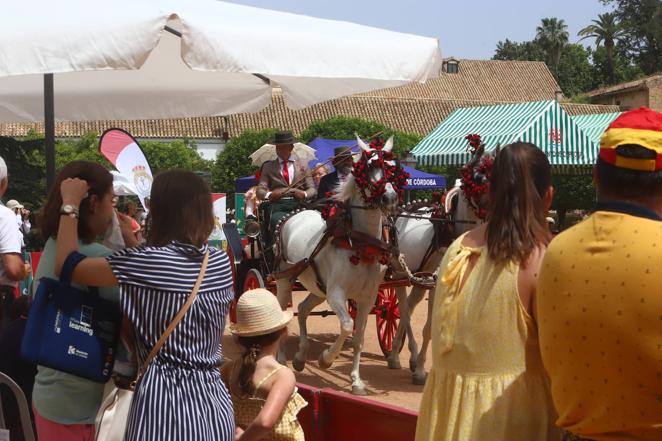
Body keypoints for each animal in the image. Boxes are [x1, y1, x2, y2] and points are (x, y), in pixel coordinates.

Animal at [274, 136, 400, 394]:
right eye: (369, 166)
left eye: (393, 167)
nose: (390, 199)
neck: (359, 241)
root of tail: (293, 214)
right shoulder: (337, 293)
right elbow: (346, 325)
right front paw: (326, 359)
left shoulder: (367, 297)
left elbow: (359, 336)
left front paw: (356, 381)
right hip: (284, 280)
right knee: (283, 314)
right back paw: (281, 358)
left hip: (317, 287)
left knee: (302, 309)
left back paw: (300, 357)